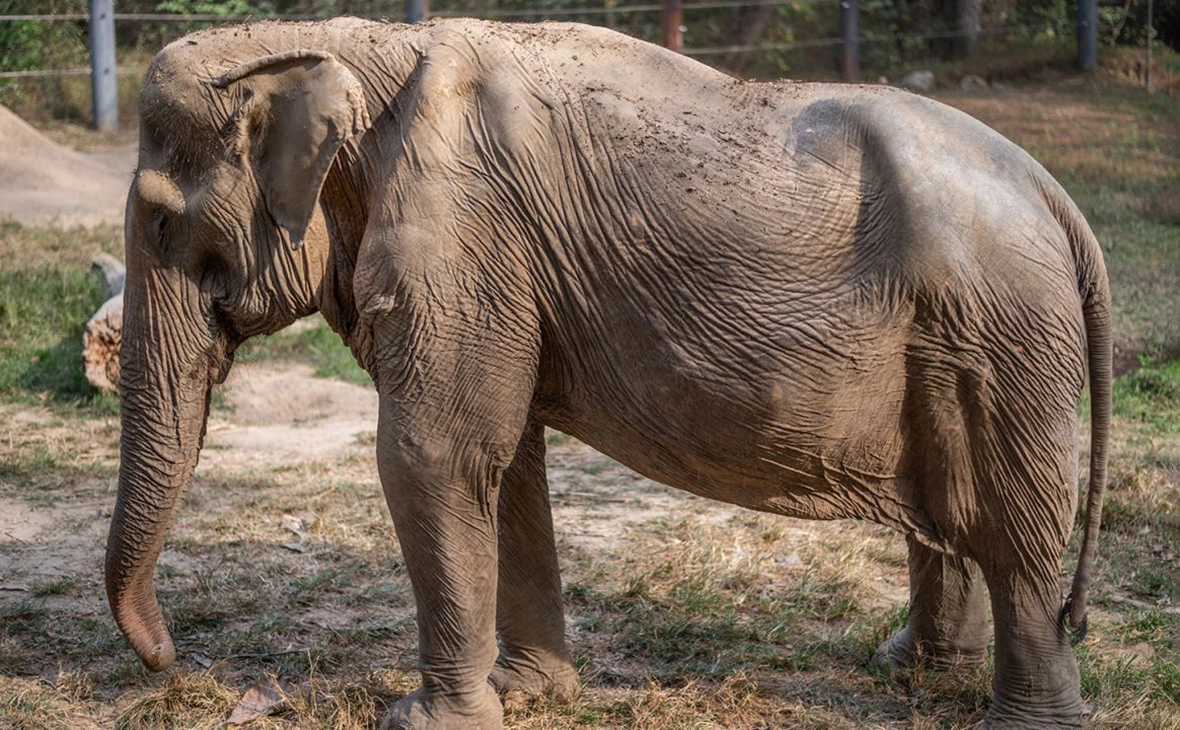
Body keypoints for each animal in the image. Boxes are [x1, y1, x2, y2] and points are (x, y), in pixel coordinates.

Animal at [106, 17, 1109, 730]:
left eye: (160, 224)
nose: (170, 661)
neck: (349, 45)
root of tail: (1058, 197)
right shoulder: (499, 267)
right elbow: (505, 462)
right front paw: (531, 694)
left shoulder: (463, 236)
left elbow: (432, 455)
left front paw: (423, 721)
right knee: (957, 510)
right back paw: (908, 669)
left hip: (1003, 334)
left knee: (1013, 528)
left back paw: (1022, 721)